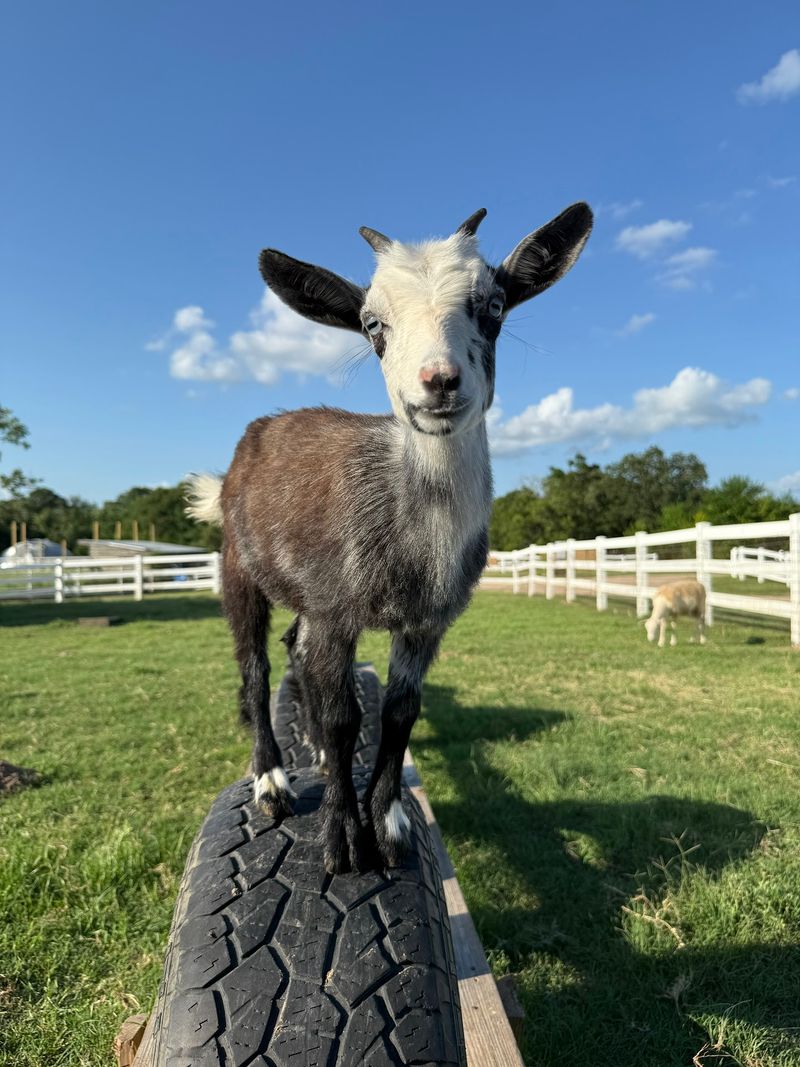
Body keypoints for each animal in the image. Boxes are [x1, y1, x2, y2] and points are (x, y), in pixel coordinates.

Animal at [186, 203, 593, 873]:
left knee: (295, 650)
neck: (410, 543)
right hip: (239, 565)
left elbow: (401, 712)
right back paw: (271, 780)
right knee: (256, 665)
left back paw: (314, 751)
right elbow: (344, 716)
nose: (439, 381)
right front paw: (344, 841)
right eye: (371, 323)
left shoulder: (426, 621)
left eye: (494, 304)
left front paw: (391, 822)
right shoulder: (335, 608)